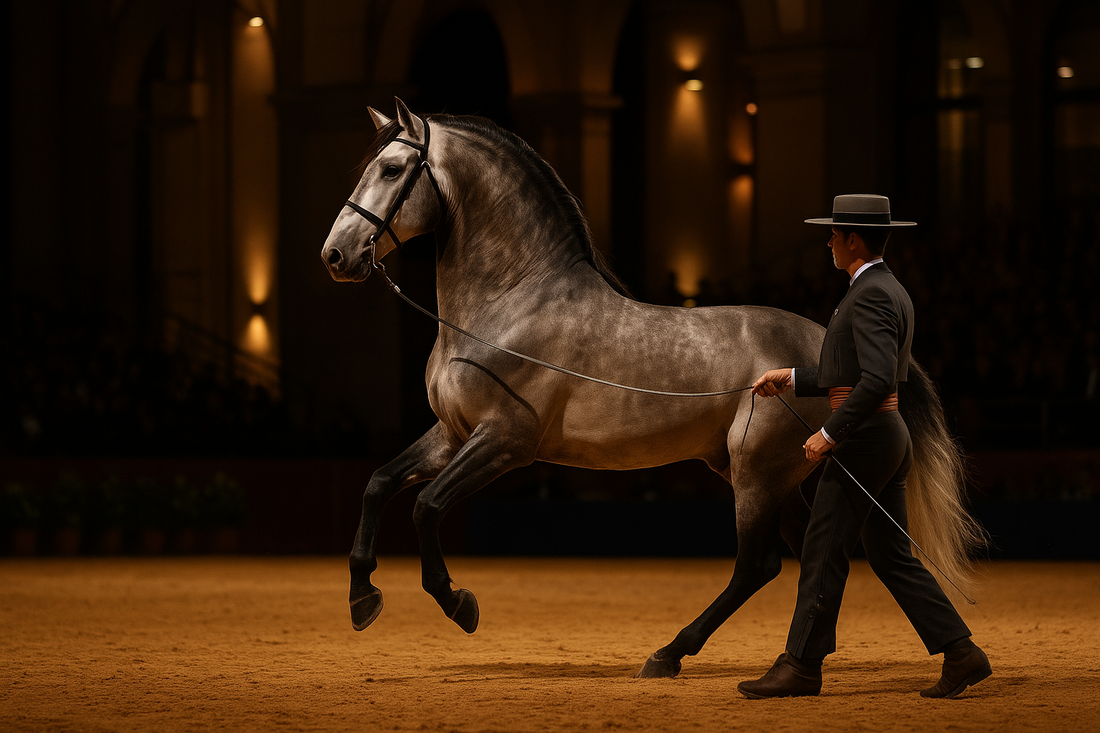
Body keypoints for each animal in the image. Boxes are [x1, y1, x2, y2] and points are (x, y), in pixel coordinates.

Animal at [320, 99, 980, 678]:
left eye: (393, 169)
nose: (336, 255)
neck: (509, 302)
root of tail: (829, 346)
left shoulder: (505, 442)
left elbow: (427, 507)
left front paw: (459, 604)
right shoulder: (454, 434)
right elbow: (379, 484)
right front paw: (362, 599)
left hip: (757, 473)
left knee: (758, 565)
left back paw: (671, 655)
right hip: (777, 473)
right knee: (810, 553)